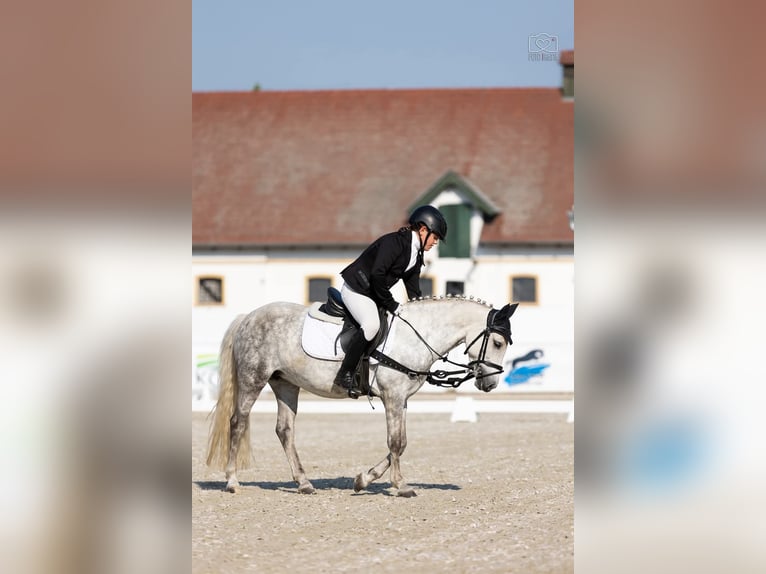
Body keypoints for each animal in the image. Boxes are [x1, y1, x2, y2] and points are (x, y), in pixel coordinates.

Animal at [207, 296, 520, 500]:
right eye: (497, 342)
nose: (490, 383)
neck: (416, 335)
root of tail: (248, 317)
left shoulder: (400, 398)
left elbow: (401, 443)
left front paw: (363, 479)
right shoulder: (393, 396)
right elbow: (396, 442)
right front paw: (401, 486)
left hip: (285, 383)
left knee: (284, 430)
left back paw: (304, 483)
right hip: (253, 379)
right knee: (237, 423)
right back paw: (232, 482)